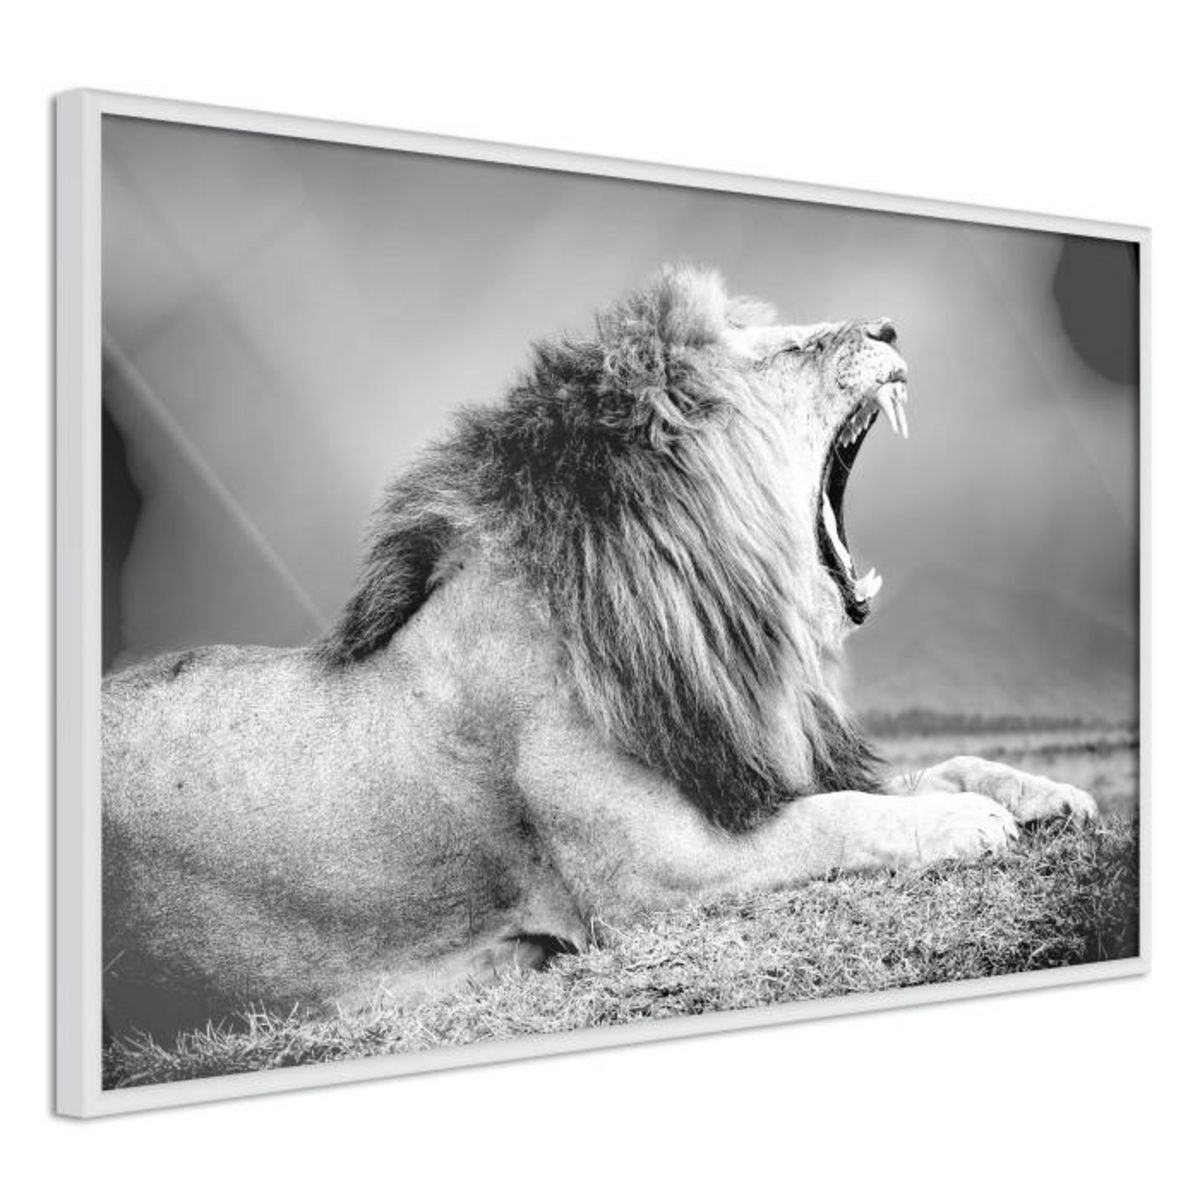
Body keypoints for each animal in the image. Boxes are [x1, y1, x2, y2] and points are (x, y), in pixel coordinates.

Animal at [102, 266, 1097, 1042]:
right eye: (785, 353)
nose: (888, 327)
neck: (714, 623)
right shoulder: (654, 879)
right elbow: (840, 818)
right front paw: (967, 822)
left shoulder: (747, 770)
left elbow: (931, 770)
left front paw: (1046, 793)